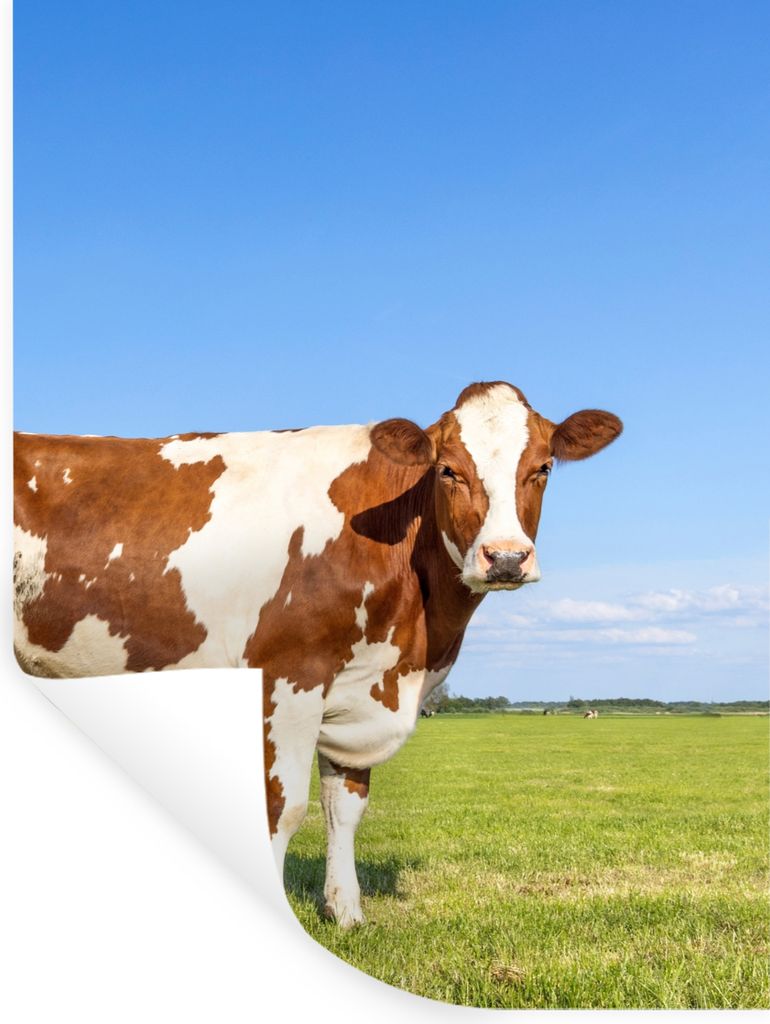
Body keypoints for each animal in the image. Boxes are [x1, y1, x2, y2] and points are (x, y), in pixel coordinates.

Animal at [13, 380, 622, 926]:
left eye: (543, 467)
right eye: (448, 470)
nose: (506, 558)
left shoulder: (361, 686)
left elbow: (345, 807)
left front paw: (345, 912)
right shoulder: (285, 678)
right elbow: (280, 809)